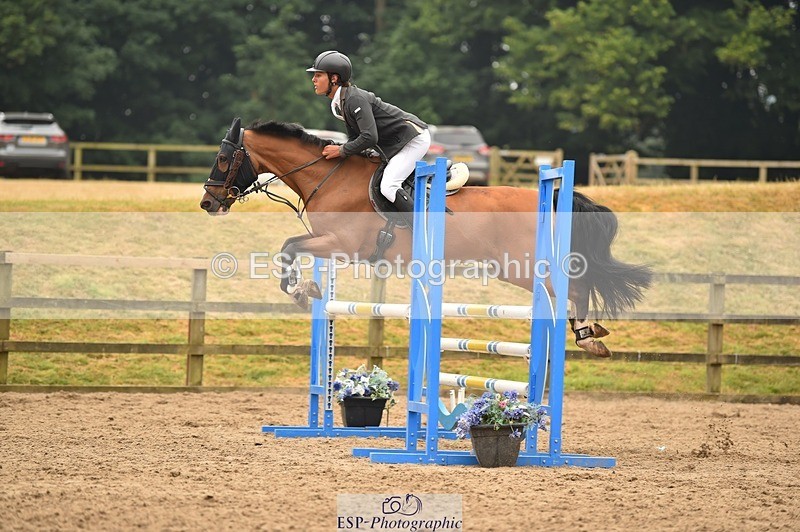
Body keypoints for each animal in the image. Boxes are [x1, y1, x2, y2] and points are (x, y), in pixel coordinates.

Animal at [200, 118, 652, 358]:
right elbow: (290, 249)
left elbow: (288, 248)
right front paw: (307, 289)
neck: (329, 176)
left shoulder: (342, 246)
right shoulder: (329, 243)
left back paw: (586, 337)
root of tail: (552, 195)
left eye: (223, 158)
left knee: (573, 286)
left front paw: (300, 290)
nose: (208, 203)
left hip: (522, 267)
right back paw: (589, 335)